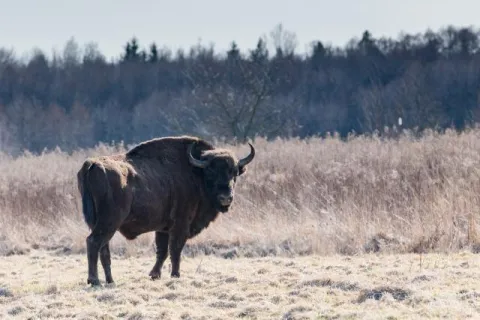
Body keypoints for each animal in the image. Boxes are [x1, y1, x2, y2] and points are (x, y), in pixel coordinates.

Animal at [77, 135, 255, 284]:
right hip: (109, 223)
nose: (226, 197)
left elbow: (162, 251)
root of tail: (92, 165)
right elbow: (175, 249)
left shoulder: (163, 228)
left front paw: (155, 275)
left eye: (234, 172)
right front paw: (175, 275)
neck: (196, 173)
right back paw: (94, 280)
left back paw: (110, 280)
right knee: (93, 242)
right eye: (211, 171)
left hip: (98, 224)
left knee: (103, 249)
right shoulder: (180, 225)